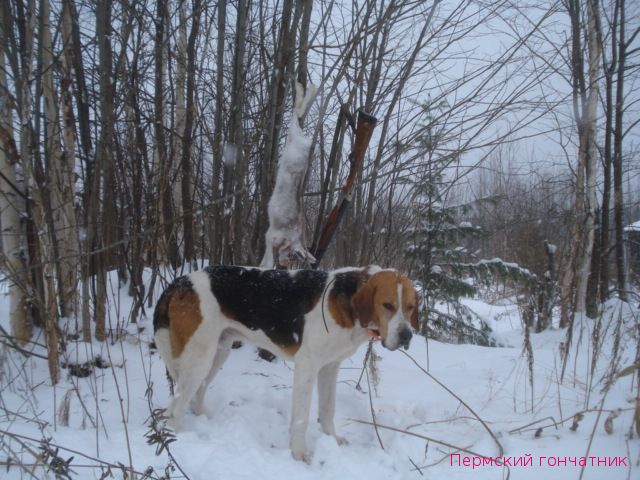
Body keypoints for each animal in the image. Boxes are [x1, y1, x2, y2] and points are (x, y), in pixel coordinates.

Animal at [154, 266, 420, 462]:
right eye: (387, 305)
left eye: (410, 307)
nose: (407, 336)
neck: (350, 304)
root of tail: (179, 282)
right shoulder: (307, 366)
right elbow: (301, 418)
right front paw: (299, 453)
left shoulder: (329, 367)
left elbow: (327, 410)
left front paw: (332, 440)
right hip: (199, 358)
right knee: (176, 407)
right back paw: (182, 438)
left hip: (217, 353)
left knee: (194, 396)